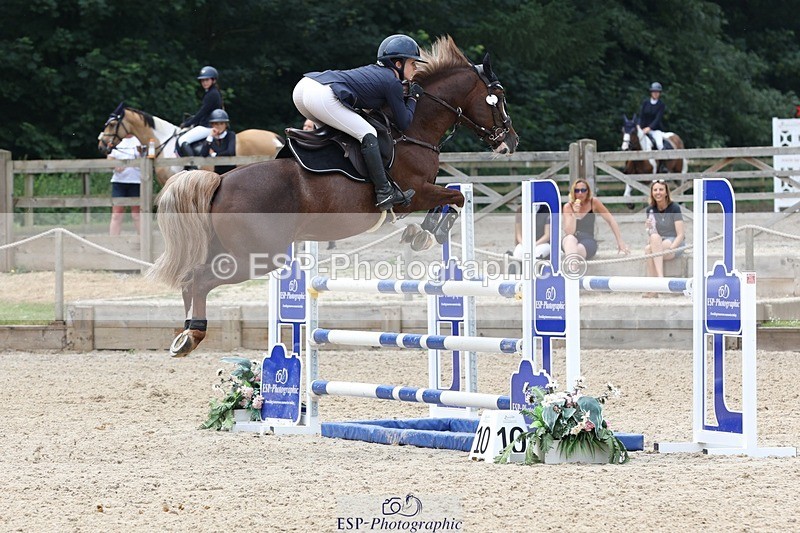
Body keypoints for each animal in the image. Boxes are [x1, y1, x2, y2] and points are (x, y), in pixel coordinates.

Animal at [148, 35, 519, 357]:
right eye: (498, 95)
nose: (510, 142)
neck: (413, 130)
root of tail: (220, 182)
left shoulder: (425, 191)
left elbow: (451, 198)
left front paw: (419, 234)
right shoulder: (416, 193)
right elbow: (455, 200)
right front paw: (427, 234)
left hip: (227, 248)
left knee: (190, 278)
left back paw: (185, 335)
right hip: (256, 256)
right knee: (200, 279)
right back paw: (193, 334)